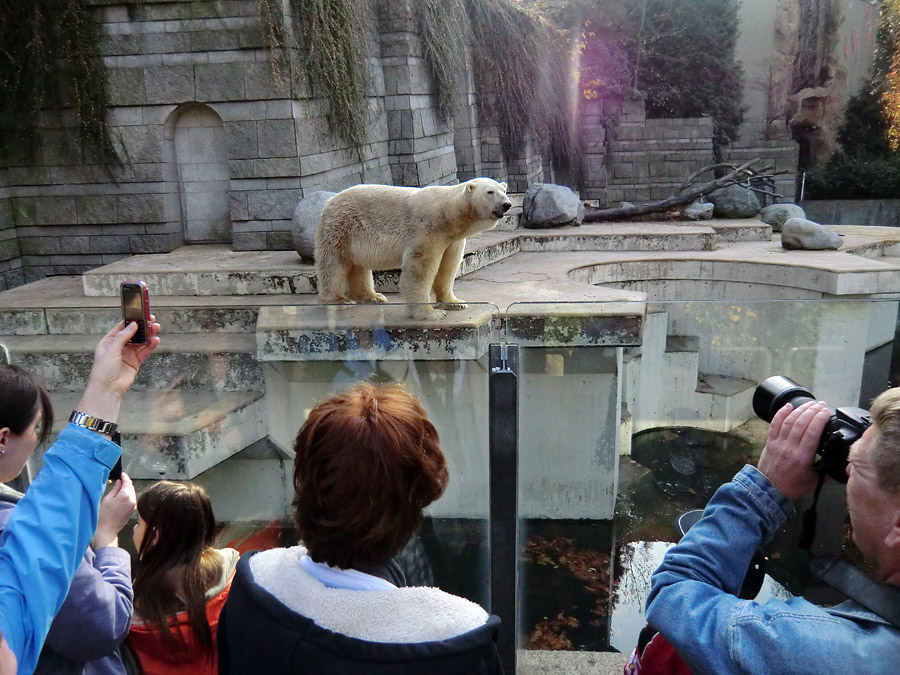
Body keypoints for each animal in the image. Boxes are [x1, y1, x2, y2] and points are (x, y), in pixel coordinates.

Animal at [316, 177, 512, 320]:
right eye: (490, 192)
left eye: (504, 191)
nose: (507, 204)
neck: (448, 214)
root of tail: (330, 200)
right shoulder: (428, 230)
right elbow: (420, 269)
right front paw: (431, 313)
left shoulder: (452, 240)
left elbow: (448, 266)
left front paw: (455, 302)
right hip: (341, 228)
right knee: (334, 264)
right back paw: (339, 301)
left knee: (358, 266)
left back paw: (372, 296)